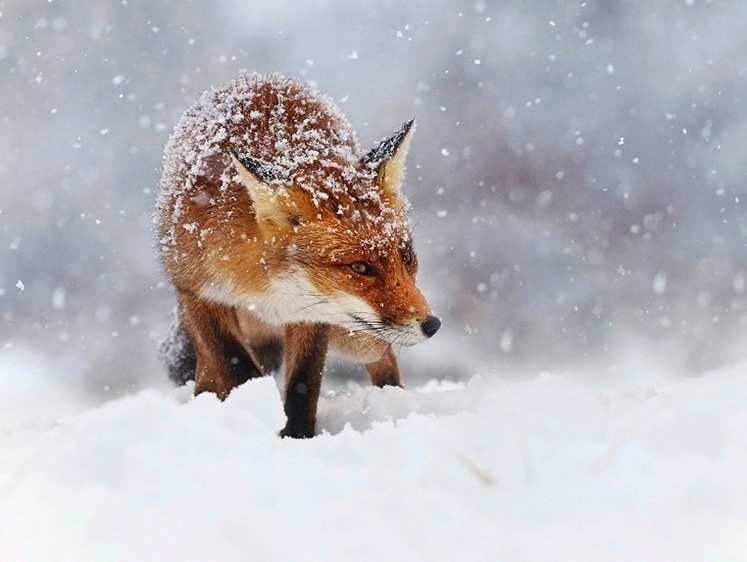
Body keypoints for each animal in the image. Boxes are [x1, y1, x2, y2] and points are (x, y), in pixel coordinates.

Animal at [155, 72, 442, 436]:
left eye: (406, 257)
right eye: (360, 267)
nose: (432, 324)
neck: (265, 288)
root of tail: (259, 78)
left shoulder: (313, 316)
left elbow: (303, 386)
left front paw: (298, 436)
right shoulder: (198, 293)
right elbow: (236, 368)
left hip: (357, 337)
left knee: (385, 358)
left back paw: (391, 400)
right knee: (206, 369)